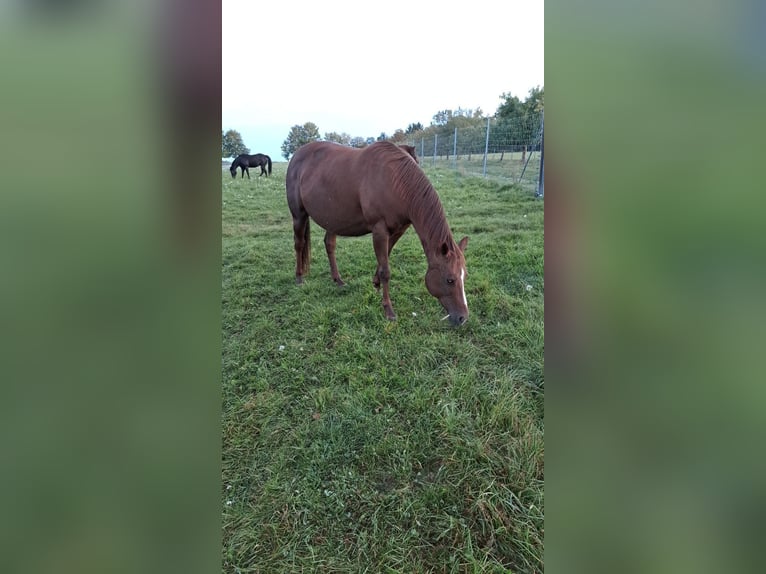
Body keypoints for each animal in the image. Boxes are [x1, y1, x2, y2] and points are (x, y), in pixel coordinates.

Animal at [286, 140, 472, 326]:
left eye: (465, 277)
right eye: (450, 279)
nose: (462, 317)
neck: (396, 182)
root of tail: (296, 155)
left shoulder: (397, 231)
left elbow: (384, 260)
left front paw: (375, 284)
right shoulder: (379, 231)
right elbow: (386, 271)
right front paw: (388, 310)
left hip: (332, 219)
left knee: (329, 244)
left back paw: (338, 280)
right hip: (299, 215)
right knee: (299, 244)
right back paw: (299, 278)